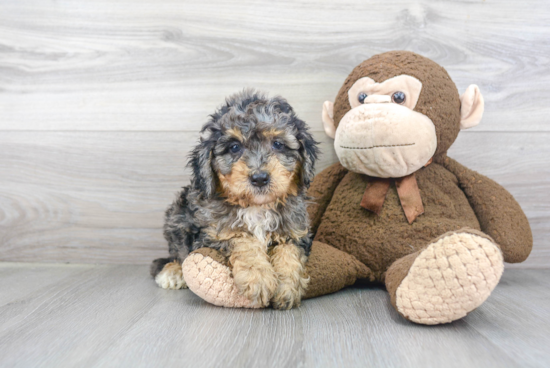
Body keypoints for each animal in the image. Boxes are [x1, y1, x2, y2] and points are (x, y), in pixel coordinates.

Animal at [151, 90, 322, 310]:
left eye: (278, 144)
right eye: (234, 147)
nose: (259, 178)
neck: (256, 206)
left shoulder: (296, 229)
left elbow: (289, 251)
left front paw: (287, 288)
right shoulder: (213, 232)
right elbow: (243, 240)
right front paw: (258, 278)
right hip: (177, 216)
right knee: (177, 253)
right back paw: (172, 272)